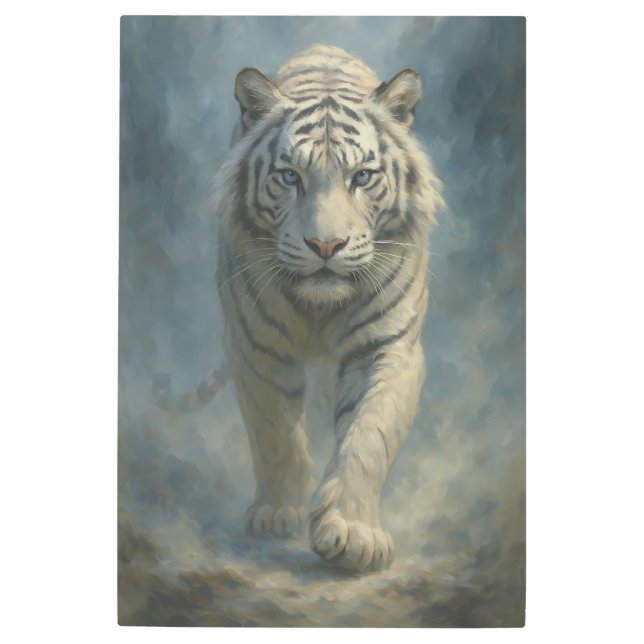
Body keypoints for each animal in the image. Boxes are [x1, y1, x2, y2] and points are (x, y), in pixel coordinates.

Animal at [208, 44, 444, 572]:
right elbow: (274, 430)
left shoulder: (389, 347)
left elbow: (368, 436)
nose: (325, 245)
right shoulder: (255, 347)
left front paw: (353, 533)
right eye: (289, 176)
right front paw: (279, 511)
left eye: (362, 177)